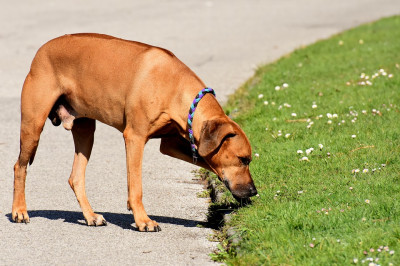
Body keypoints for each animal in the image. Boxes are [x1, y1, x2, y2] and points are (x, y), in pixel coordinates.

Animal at [12, 33, 258, 232]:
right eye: (243, 159)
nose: (254, 191)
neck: (175, 87)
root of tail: (41, 50)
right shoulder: (135, 138)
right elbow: (136, 186)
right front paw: (143, 220)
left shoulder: (171, 143)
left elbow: (206, 161)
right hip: (33, 125)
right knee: (19, 166)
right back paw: (19, 211)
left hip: (85, 128)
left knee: (76, 177)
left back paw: (90, 216)